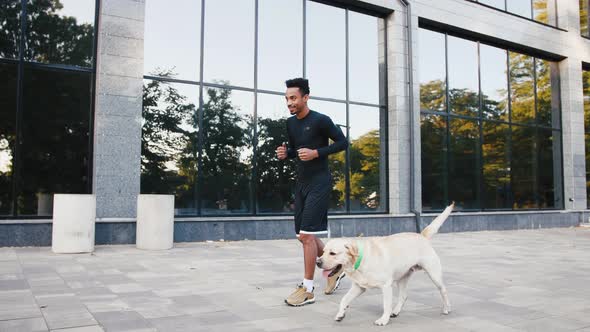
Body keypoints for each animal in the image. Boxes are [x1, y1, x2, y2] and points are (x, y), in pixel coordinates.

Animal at [316, 204, 456, 326]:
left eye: (332, 253)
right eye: (323, 252)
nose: (317, 262)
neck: (360, 260)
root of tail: (421, 235)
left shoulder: (386, 286)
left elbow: (386, 305)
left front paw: (383, 320)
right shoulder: (358, 287)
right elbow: (344, 299)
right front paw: (340, 314)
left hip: (433, 274)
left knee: (443, 290)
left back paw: (447, 308)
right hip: (402, 277)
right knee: (404, 296)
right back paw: (396, 311)